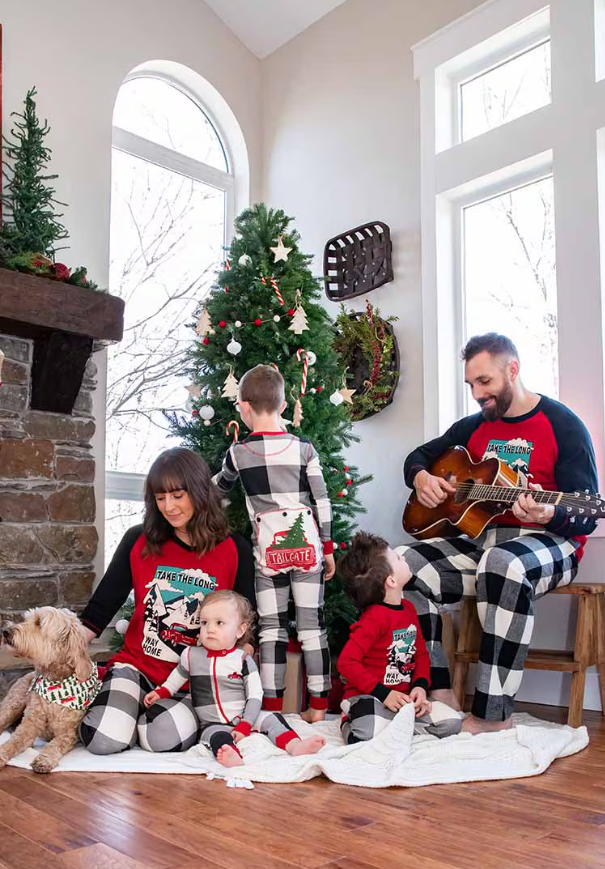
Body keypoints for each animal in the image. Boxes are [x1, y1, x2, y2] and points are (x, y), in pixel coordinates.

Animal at [0, 604, 100, 772]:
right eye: (26, 619)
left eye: (39, 623)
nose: (5, 631)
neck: (54, 682)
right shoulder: (29, 725)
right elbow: (12, 742)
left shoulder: (67, 733)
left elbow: (54, 745)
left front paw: (44, 759)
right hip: (12, 705)